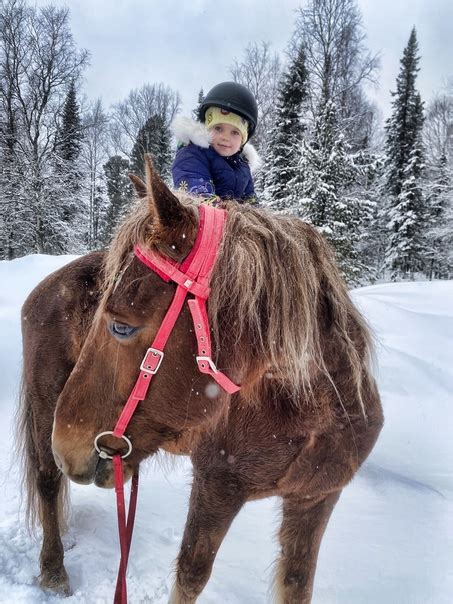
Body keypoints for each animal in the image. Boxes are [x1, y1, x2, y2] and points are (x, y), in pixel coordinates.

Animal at [19, 157, 384, 604]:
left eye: (121, 326)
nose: (66, 444)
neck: (310, 415)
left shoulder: (315, 498)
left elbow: (297, 583)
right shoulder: (217, 486)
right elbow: (191, 574)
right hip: (43, 407)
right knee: (46, 482)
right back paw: (54, 570)